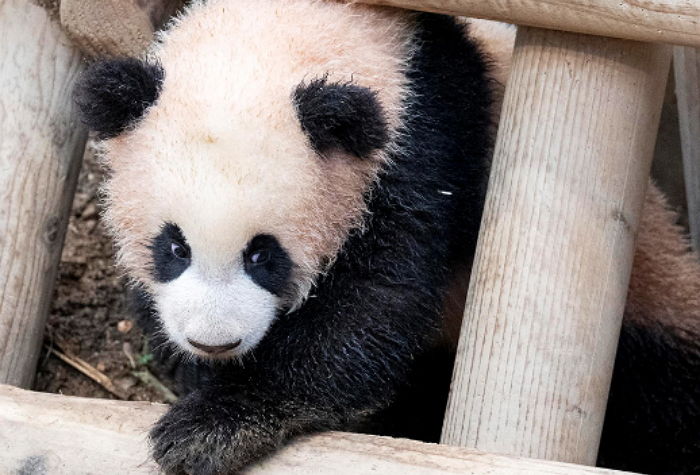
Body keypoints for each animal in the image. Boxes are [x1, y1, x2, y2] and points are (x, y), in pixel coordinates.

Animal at [72, 0, 700, 475]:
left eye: (263, 255)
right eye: (174, 247)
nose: (215, 342)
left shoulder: (426, 140)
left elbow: (376, 301)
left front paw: (215, 426)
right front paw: (197, 375)